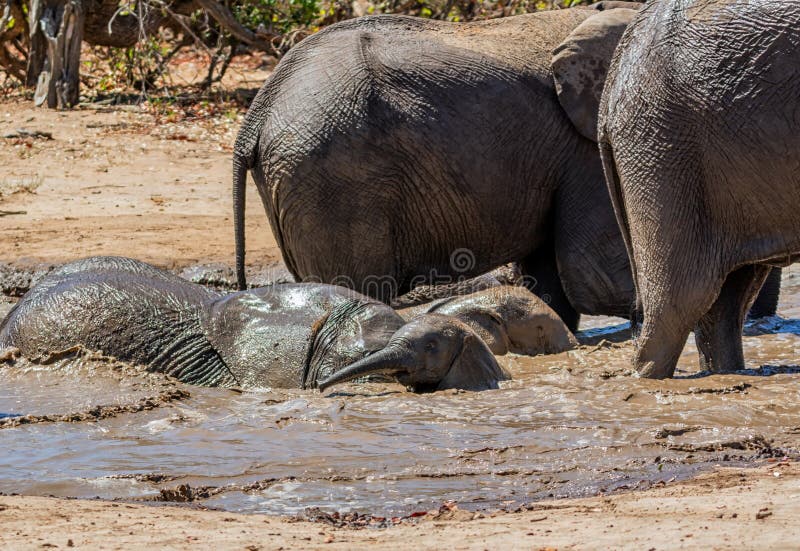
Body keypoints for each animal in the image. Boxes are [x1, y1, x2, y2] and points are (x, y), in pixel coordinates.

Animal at [231, 4, 781, 332]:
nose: (763, 321)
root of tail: (256, 114)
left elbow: (551, 280)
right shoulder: (585, 149)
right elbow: (593, 271)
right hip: (333, 179)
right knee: (356, 287)